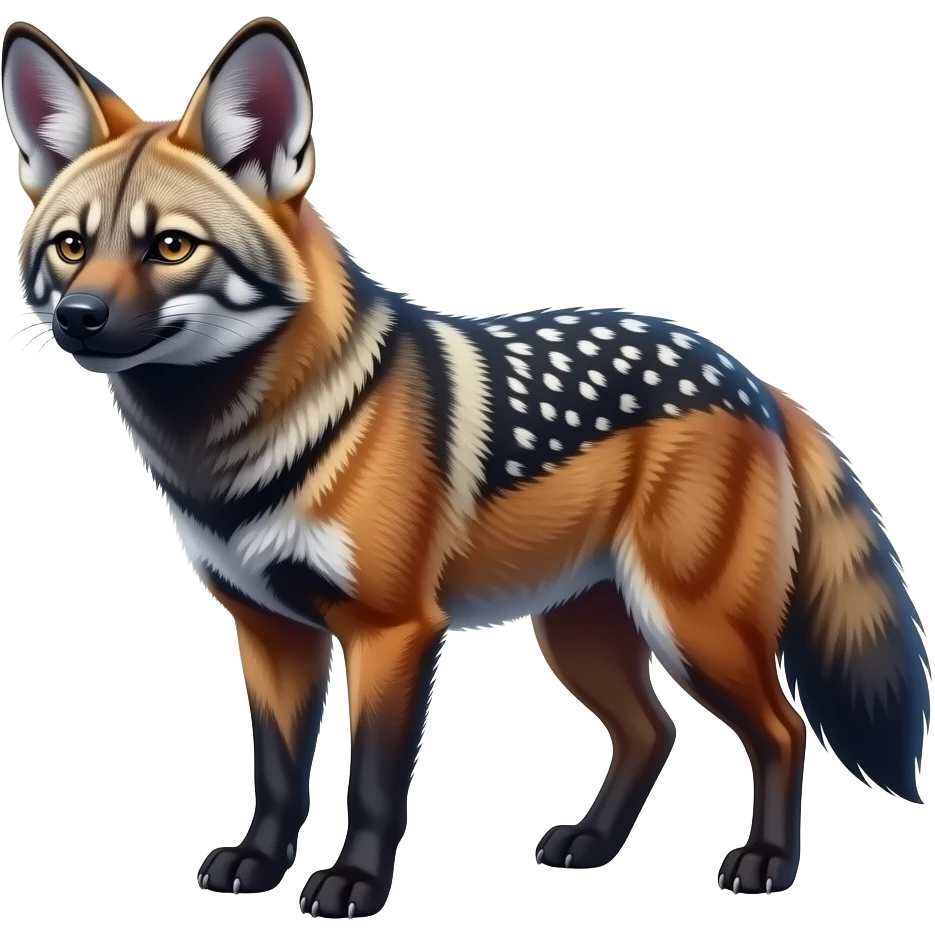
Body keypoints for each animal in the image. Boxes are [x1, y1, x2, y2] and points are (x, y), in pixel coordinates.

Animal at [2, 16, 930, 916]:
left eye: (170, 246)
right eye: (73, 247)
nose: (79, 318)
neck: (239, 452)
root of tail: (754, 380)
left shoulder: (393, 632)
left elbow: (374, 785)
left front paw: (354, 884)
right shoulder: (270, 632)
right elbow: (277, 776)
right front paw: (260, 864)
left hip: (694, 629)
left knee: (779, 730)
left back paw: (767, 861)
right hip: (582, 633)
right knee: (651, 731)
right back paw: (591, 845)